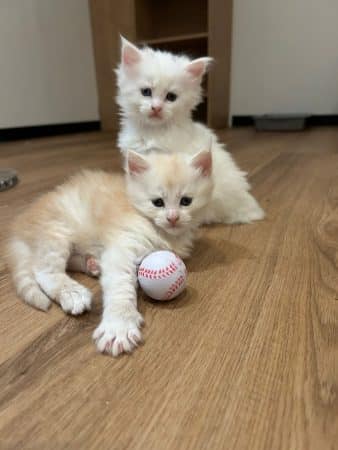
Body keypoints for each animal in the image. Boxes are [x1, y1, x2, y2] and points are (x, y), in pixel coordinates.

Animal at [7, 149, 213, 356]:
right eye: (157, 202)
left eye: (186, 201)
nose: (173, 218)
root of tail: (19, 226)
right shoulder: (123, 246)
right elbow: (120, 286)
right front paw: (119, 326)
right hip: (56, 231)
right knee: (44, 271)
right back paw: (73, 293)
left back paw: (92, 264)